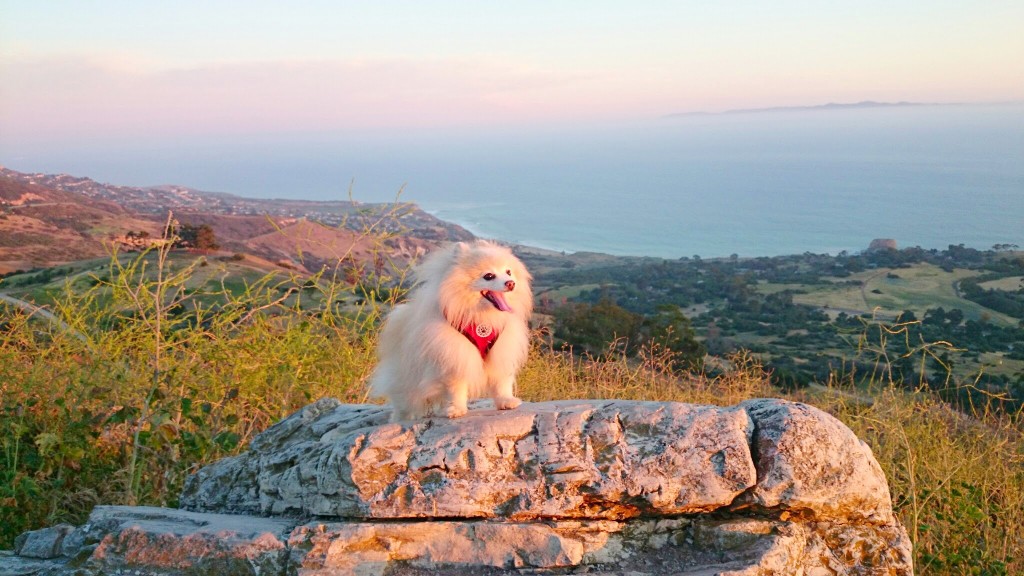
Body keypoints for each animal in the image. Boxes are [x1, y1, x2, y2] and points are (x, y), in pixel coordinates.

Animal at [368, 239, 532, 420]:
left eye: (508, 272)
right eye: (489, 276)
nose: (511, 283)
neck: (482, 318)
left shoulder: (501, 351)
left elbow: (501, 382)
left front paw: (506, 401)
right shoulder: (454, 356)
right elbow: (456, 387)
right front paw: (456, 409)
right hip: (407, 380)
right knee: (404, 403)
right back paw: (402, 418)